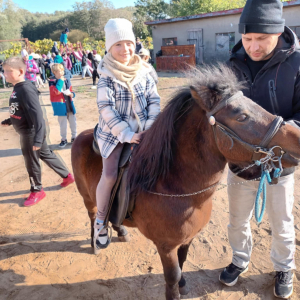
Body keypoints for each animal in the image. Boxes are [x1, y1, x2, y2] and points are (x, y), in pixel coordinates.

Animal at [71, 66, 300, 300]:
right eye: (242, 116)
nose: (297, 137)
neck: (175, 188)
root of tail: (82, 134)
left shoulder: (187, 239)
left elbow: (182, 264)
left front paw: (182, 284)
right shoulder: (166, 247)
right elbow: (172, 275)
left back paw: (121, 231)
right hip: (88, 197)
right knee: (94, 216)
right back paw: (96, 241)